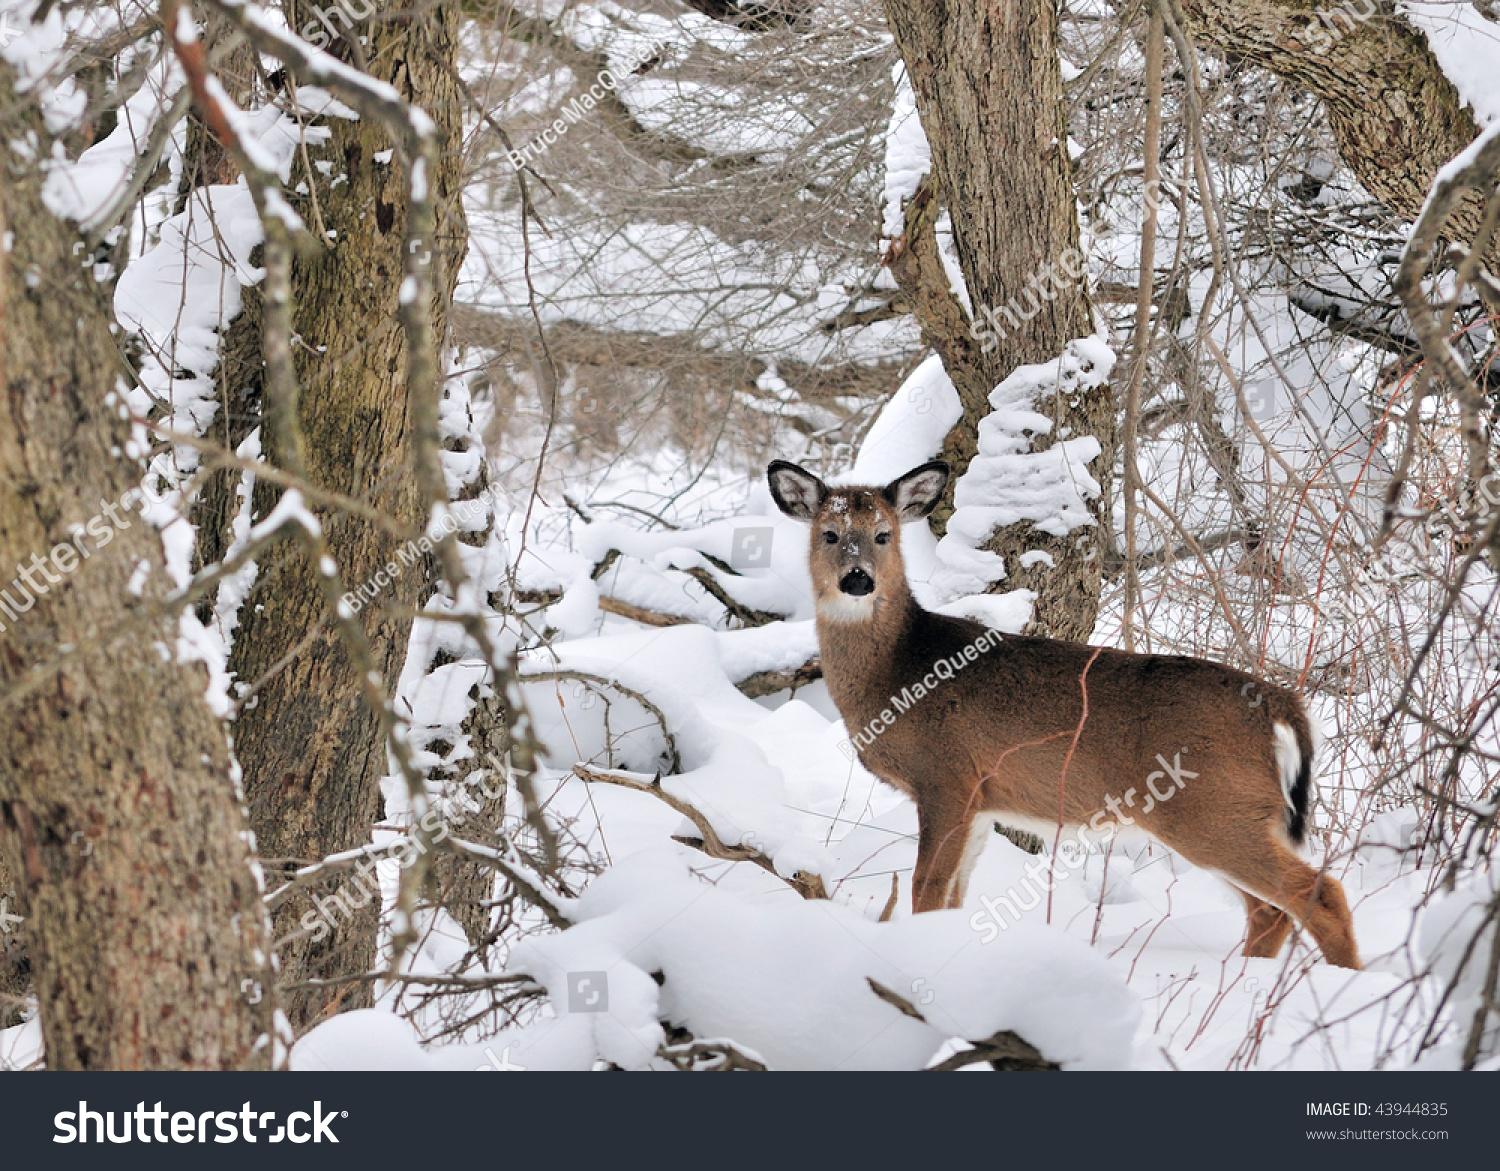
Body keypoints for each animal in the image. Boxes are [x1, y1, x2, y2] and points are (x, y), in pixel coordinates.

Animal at [768, 455, 1368, 965]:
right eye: (829, 534)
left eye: (883, 535)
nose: (858, 579)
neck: (898, 671)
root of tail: (1283, 707)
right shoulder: (981, 799)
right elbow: (955, 895)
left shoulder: (947, 776)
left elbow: (926, 889)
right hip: (1232, 813)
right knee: (1269, 911)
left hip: (1211, 808)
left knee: (1319, 893)